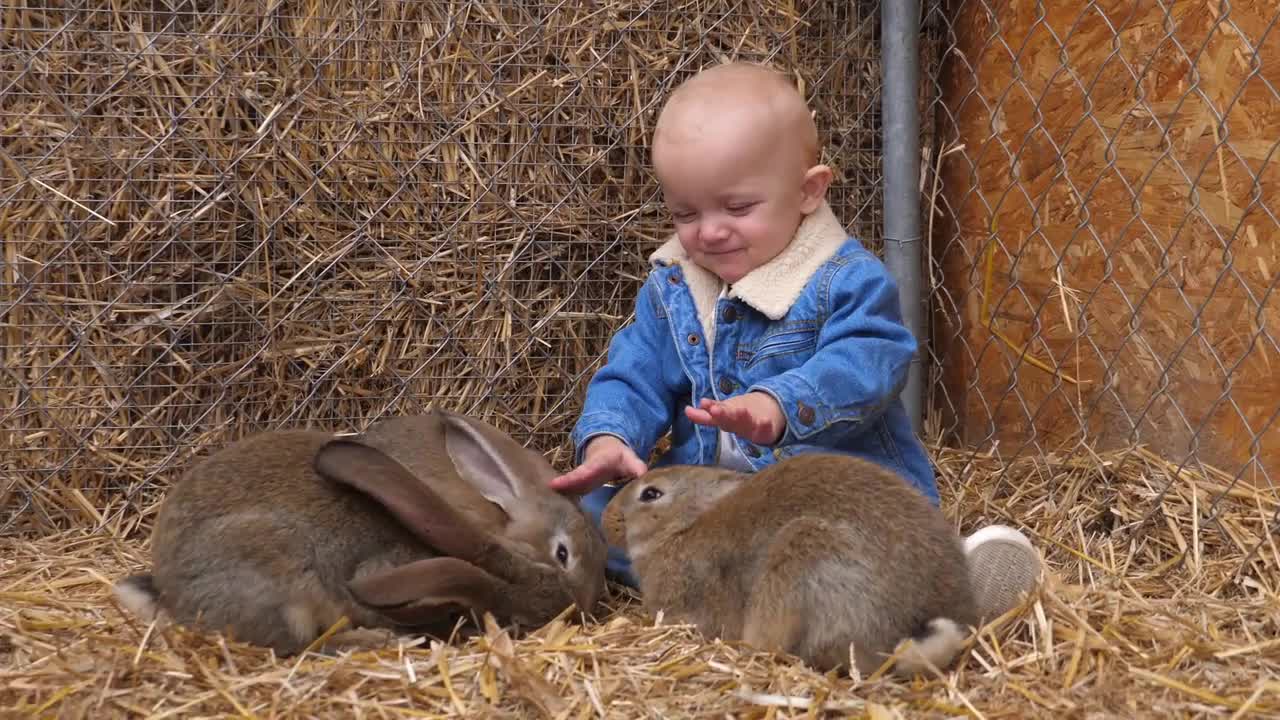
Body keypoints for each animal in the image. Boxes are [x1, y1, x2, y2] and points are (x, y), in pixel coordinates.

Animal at [112, 407, 606, 653]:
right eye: (563, 554)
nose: (584, 610)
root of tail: (171, 593)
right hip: (282, 592)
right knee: (297, 648)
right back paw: (375, 640)